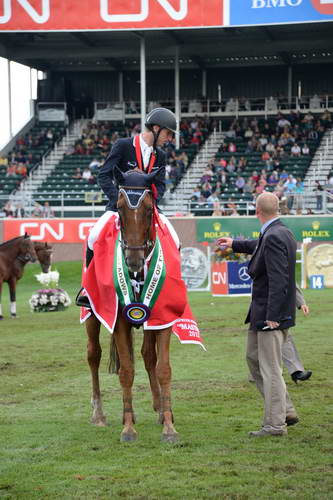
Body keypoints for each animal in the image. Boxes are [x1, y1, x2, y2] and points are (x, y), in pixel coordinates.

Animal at [85, 170, 179, 444]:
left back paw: (159, 408)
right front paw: (128, 429)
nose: (133, 260)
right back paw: (99, 414)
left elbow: (163, 368)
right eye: (119, 208)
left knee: (148, 356)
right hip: (92, 316)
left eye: (149, 210)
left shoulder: (163, 319)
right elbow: (126, 371)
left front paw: (169, 426)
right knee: (93, 355)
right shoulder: (119, 322)